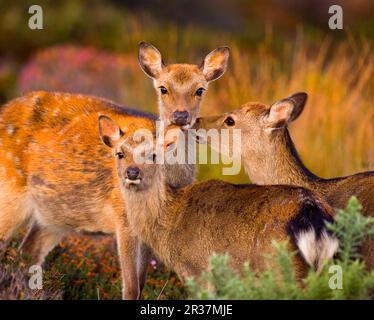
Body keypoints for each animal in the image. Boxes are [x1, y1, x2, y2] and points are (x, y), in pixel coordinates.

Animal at [0, 43, 228, 300]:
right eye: (163, 88)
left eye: (200, 90)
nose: (180, 116)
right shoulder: (124, 219)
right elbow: (130, 285)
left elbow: (141, 281)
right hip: (9, 191)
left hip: (52, 217)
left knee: (27, 253)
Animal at [98, 117, 338, 280]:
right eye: (120, 153)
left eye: (153, 155)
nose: (132, 172)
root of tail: (312, 212)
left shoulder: (198, 269)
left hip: (278, 265)